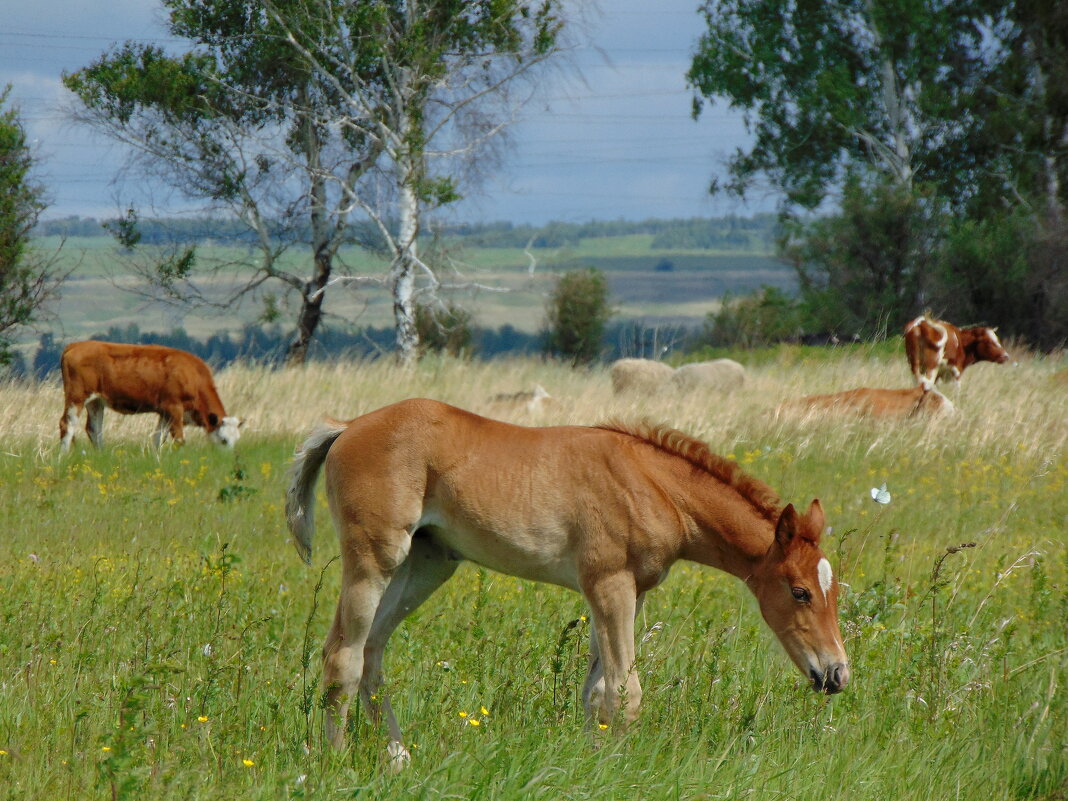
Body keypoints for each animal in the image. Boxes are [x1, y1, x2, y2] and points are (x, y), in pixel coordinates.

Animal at [60, 339, 242, 452]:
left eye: (236, 439)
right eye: (224, 439)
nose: (228, 459)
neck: (193, 375)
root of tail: (76, 345)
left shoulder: (165, 413)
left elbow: (158, 438)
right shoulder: (174, 408)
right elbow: (179, 439)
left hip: (96, 402)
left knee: (94, 429)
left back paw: (102, 455)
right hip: (76, 398)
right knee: (67, 425)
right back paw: (63, 457)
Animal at [286, 401, 850, 764]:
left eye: (835, 591)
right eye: (799, 592)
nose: (836, 674)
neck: (652, 484)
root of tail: (346, 426)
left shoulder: (630, 592)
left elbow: (596, 691)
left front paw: (592, 763)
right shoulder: (608, 583)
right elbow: (624, 691)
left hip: (425, 565)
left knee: (371, 652)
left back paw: (398, 758)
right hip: (375, 559)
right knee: (342, 657)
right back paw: (336, 763)